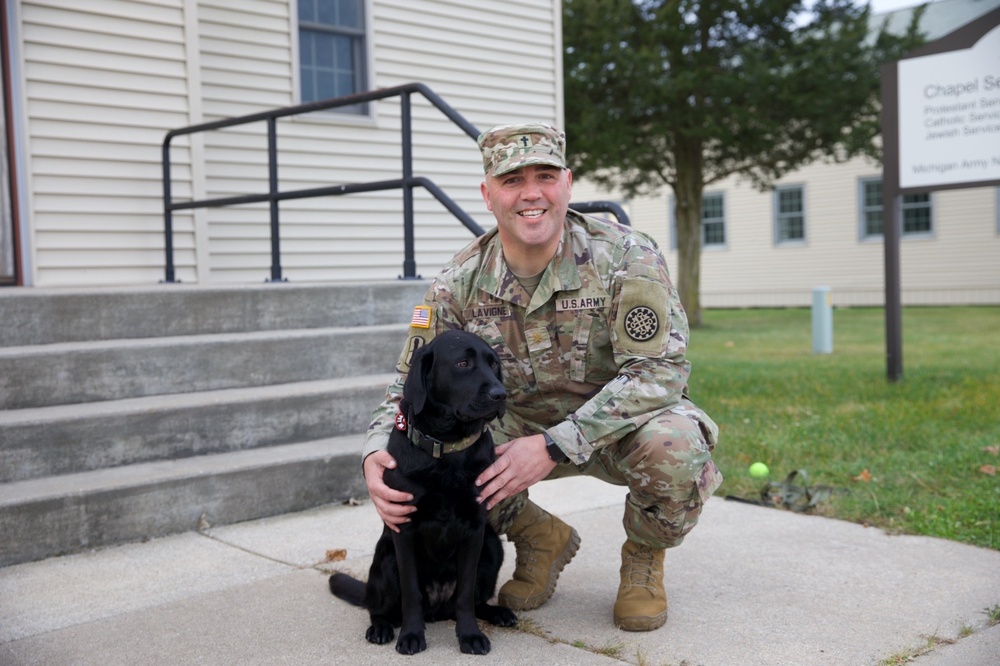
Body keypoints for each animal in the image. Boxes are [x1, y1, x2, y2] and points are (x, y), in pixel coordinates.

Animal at [330, 330, 516, 652]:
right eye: (463, 363)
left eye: (494, 364)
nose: (500, 394)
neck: (448, 447)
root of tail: (438, 610)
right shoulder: (404, 527)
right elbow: (411, 593)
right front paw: (411, 635)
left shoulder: (475, 529)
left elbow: (466, 593)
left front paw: (470, 635)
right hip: (385, 559)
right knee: (378, 608)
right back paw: (381, 628)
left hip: (493, 546)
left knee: (473, 600)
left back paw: (496, 613)